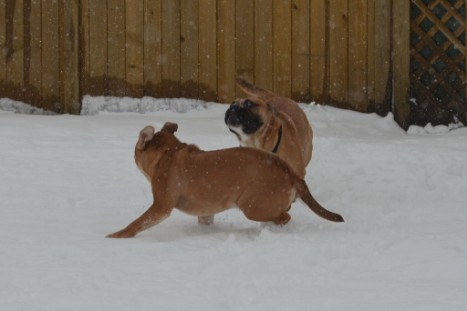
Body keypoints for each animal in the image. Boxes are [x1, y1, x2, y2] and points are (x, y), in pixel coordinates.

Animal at [107, 122, 344, 239]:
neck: (168, 152)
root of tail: (290, 172)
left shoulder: (160, 207)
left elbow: (137, 223)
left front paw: (117, 236)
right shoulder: (205, 213)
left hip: (253, 207)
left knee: (284, 216)